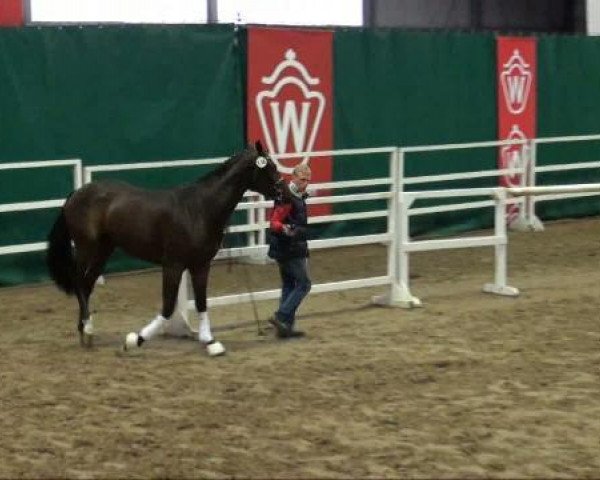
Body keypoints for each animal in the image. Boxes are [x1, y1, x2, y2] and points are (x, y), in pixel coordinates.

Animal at [46, 141, 286, 354]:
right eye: (268, 167)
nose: (285, 192)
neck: (199, 209)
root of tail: (76, 194)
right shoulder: (173, 265)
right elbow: (169, 307)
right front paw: (134, 340)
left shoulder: (200, 265)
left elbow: (201, 303)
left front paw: (210, 342)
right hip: (87, 248)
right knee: (79, 281)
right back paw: (87, 327)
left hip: (104, 251)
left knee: (87, 284)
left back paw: (85, 332)